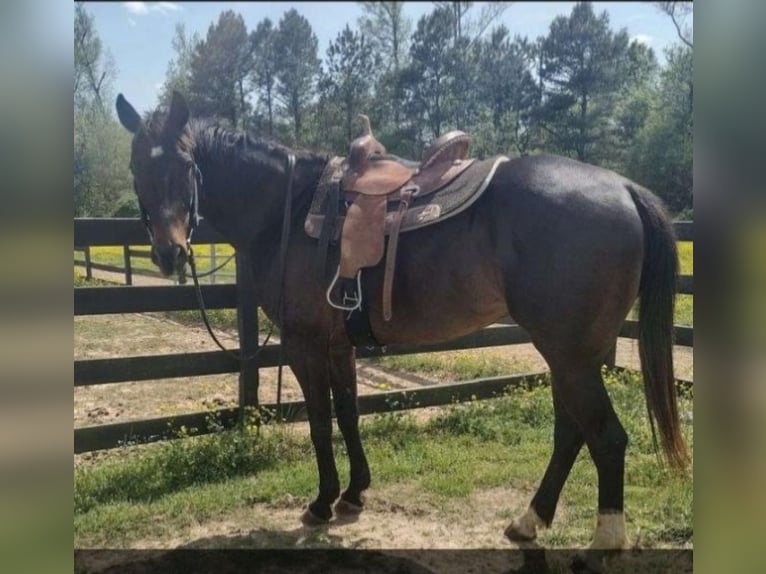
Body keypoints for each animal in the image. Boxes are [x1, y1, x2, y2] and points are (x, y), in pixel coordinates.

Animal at [117, 90, 692, 560]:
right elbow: (348, 413)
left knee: (606, 437)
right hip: (569, 354)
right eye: (135, 168)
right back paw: (528, 521)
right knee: (571, 432)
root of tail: (623, 188)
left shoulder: (305, 343)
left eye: (186, 164)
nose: (169, 254)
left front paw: (322, 502)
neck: (289, 209)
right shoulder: (338, 345)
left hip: (570, 355)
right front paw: (354, 494)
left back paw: (605, 539)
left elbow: (320, 421)